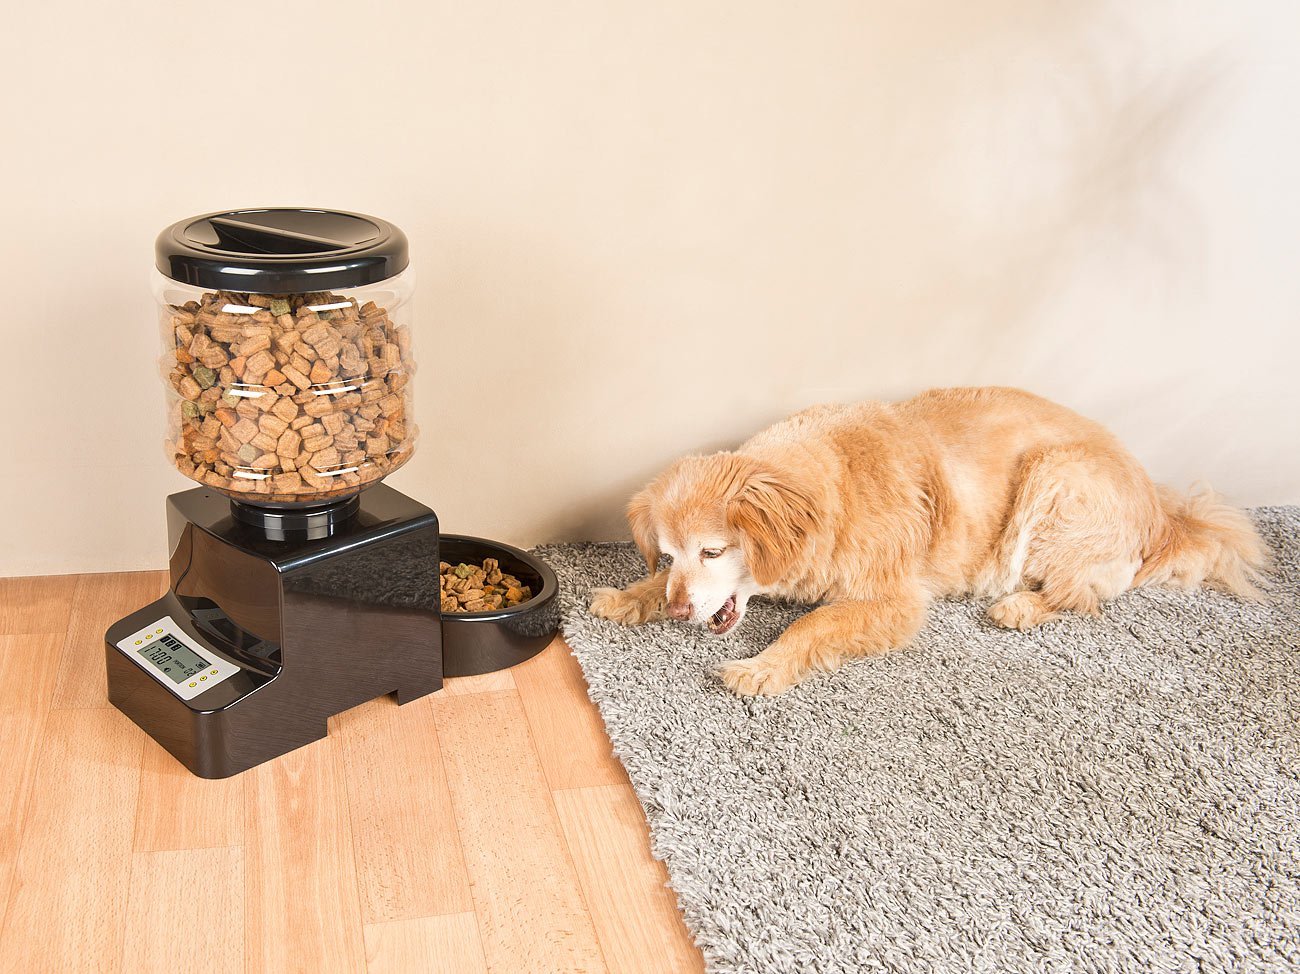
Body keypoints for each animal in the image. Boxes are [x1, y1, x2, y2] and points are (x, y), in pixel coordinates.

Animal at [590, 384, 1268, 697]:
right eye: (670, 554)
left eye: (713, 551)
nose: (679, 612)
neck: (834, 485)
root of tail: (1161, 511)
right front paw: (629, 596)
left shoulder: (894, 601)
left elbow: (810, 625)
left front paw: (762, 667)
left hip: (1054, 475)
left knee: (1084, 594)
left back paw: (1020, 605)